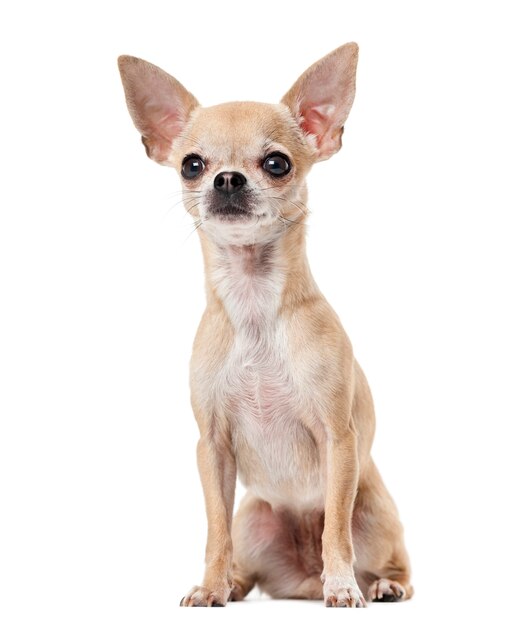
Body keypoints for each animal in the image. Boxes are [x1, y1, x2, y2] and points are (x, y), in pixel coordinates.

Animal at [118, 42, 414, 604]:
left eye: (277, 163)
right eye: (191, 165)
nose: (227, 178)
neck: (253, 301)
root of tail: (301, 580)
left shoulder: (337, 441)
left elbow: (334, 528)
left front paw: (343, 586)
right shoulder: (212, 448)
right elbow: (214, 529)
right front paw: (211, 587)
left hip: (374, 512)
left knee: (387, 556)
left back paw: (380, 584)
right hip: (253, 517)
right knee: (243, 554)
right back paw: (234, 584)